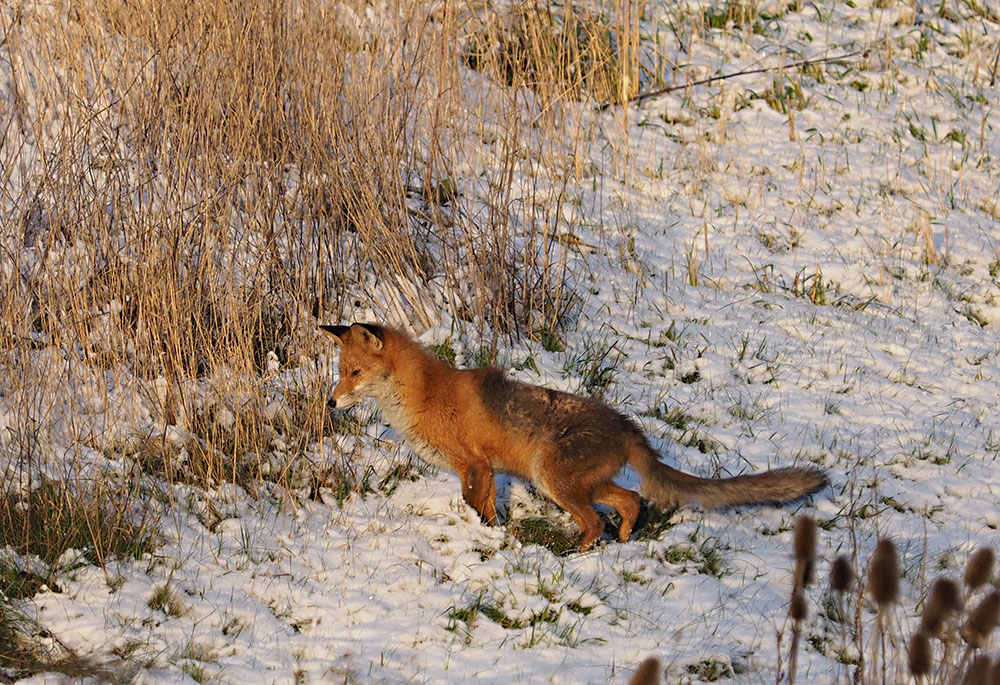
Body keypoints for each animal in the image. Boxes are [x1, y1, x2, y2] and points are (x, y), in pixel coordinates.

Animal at [322, 320, 828, 552]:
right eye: (340, 372)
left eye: (354, 373)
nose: (329, 403)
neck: (424, 394)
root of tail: (627, 425)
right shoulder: (486, 469)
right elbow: (487, 509)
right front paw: (494, 534)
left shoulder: (475, 464)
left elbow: (475, 505)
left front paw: (486, 536)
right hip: (579, 483)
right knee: (629, 501)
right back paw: (621, 542)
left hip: (554, 480)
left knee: (596, 521)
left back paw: (579, 554)